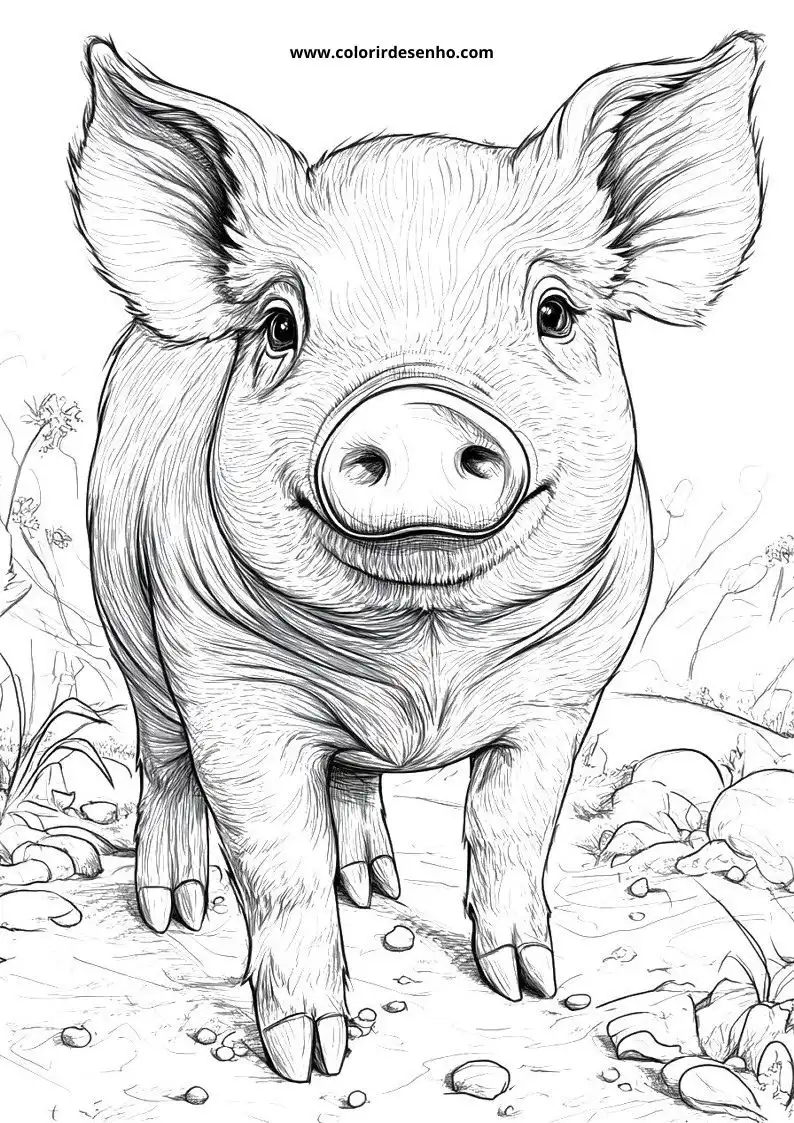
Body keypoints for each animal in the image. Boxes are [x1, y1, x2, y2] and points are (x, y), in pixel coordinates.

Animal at [70, 34, 763, 1081]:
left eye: (555, 311)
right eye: (280, 325)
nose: (418, 409)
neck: (422, 646)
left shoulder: (566, 691)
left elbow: (511, 825)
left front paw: (527, 983)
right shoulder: (227, 684)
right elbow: (277, 859)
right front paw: (310, 1058)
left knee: (353, 782)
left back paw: (375, 887)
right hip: (127, 612)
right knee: (163, 758)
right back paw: (175, 909)